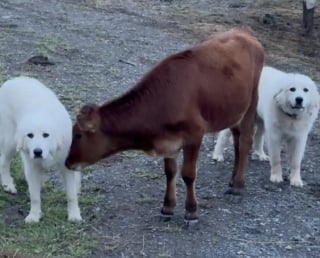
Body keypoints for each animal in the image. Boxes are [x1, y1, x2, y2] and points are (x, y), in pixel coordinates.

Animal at [0, 76, 82, 222]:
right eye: (30, 135)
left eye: (46, 135)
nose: (37, 152)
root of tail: (13, 80)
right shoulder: (32, 167)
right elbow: (35, 197)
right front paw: (34, 216)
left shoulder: (66, 166)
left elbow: (71, 194)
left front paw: (74, 215)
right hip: (10, 141)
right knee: (3, 161)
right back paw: (7, 184)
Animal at [65, 26, 264, 222]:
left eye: (78, 135)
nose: (68, 163)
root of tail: (243, 31)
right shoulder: (168, 140)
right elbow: (170, 171)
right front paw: (168, 206)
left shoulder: (194, 135)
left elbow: (188, 174)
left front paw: (191, 210)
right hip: (234, 109)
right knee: (237, 138)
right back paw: (232, 179)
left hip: (252, 100)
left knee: (245, 140)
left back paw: (238, 185)